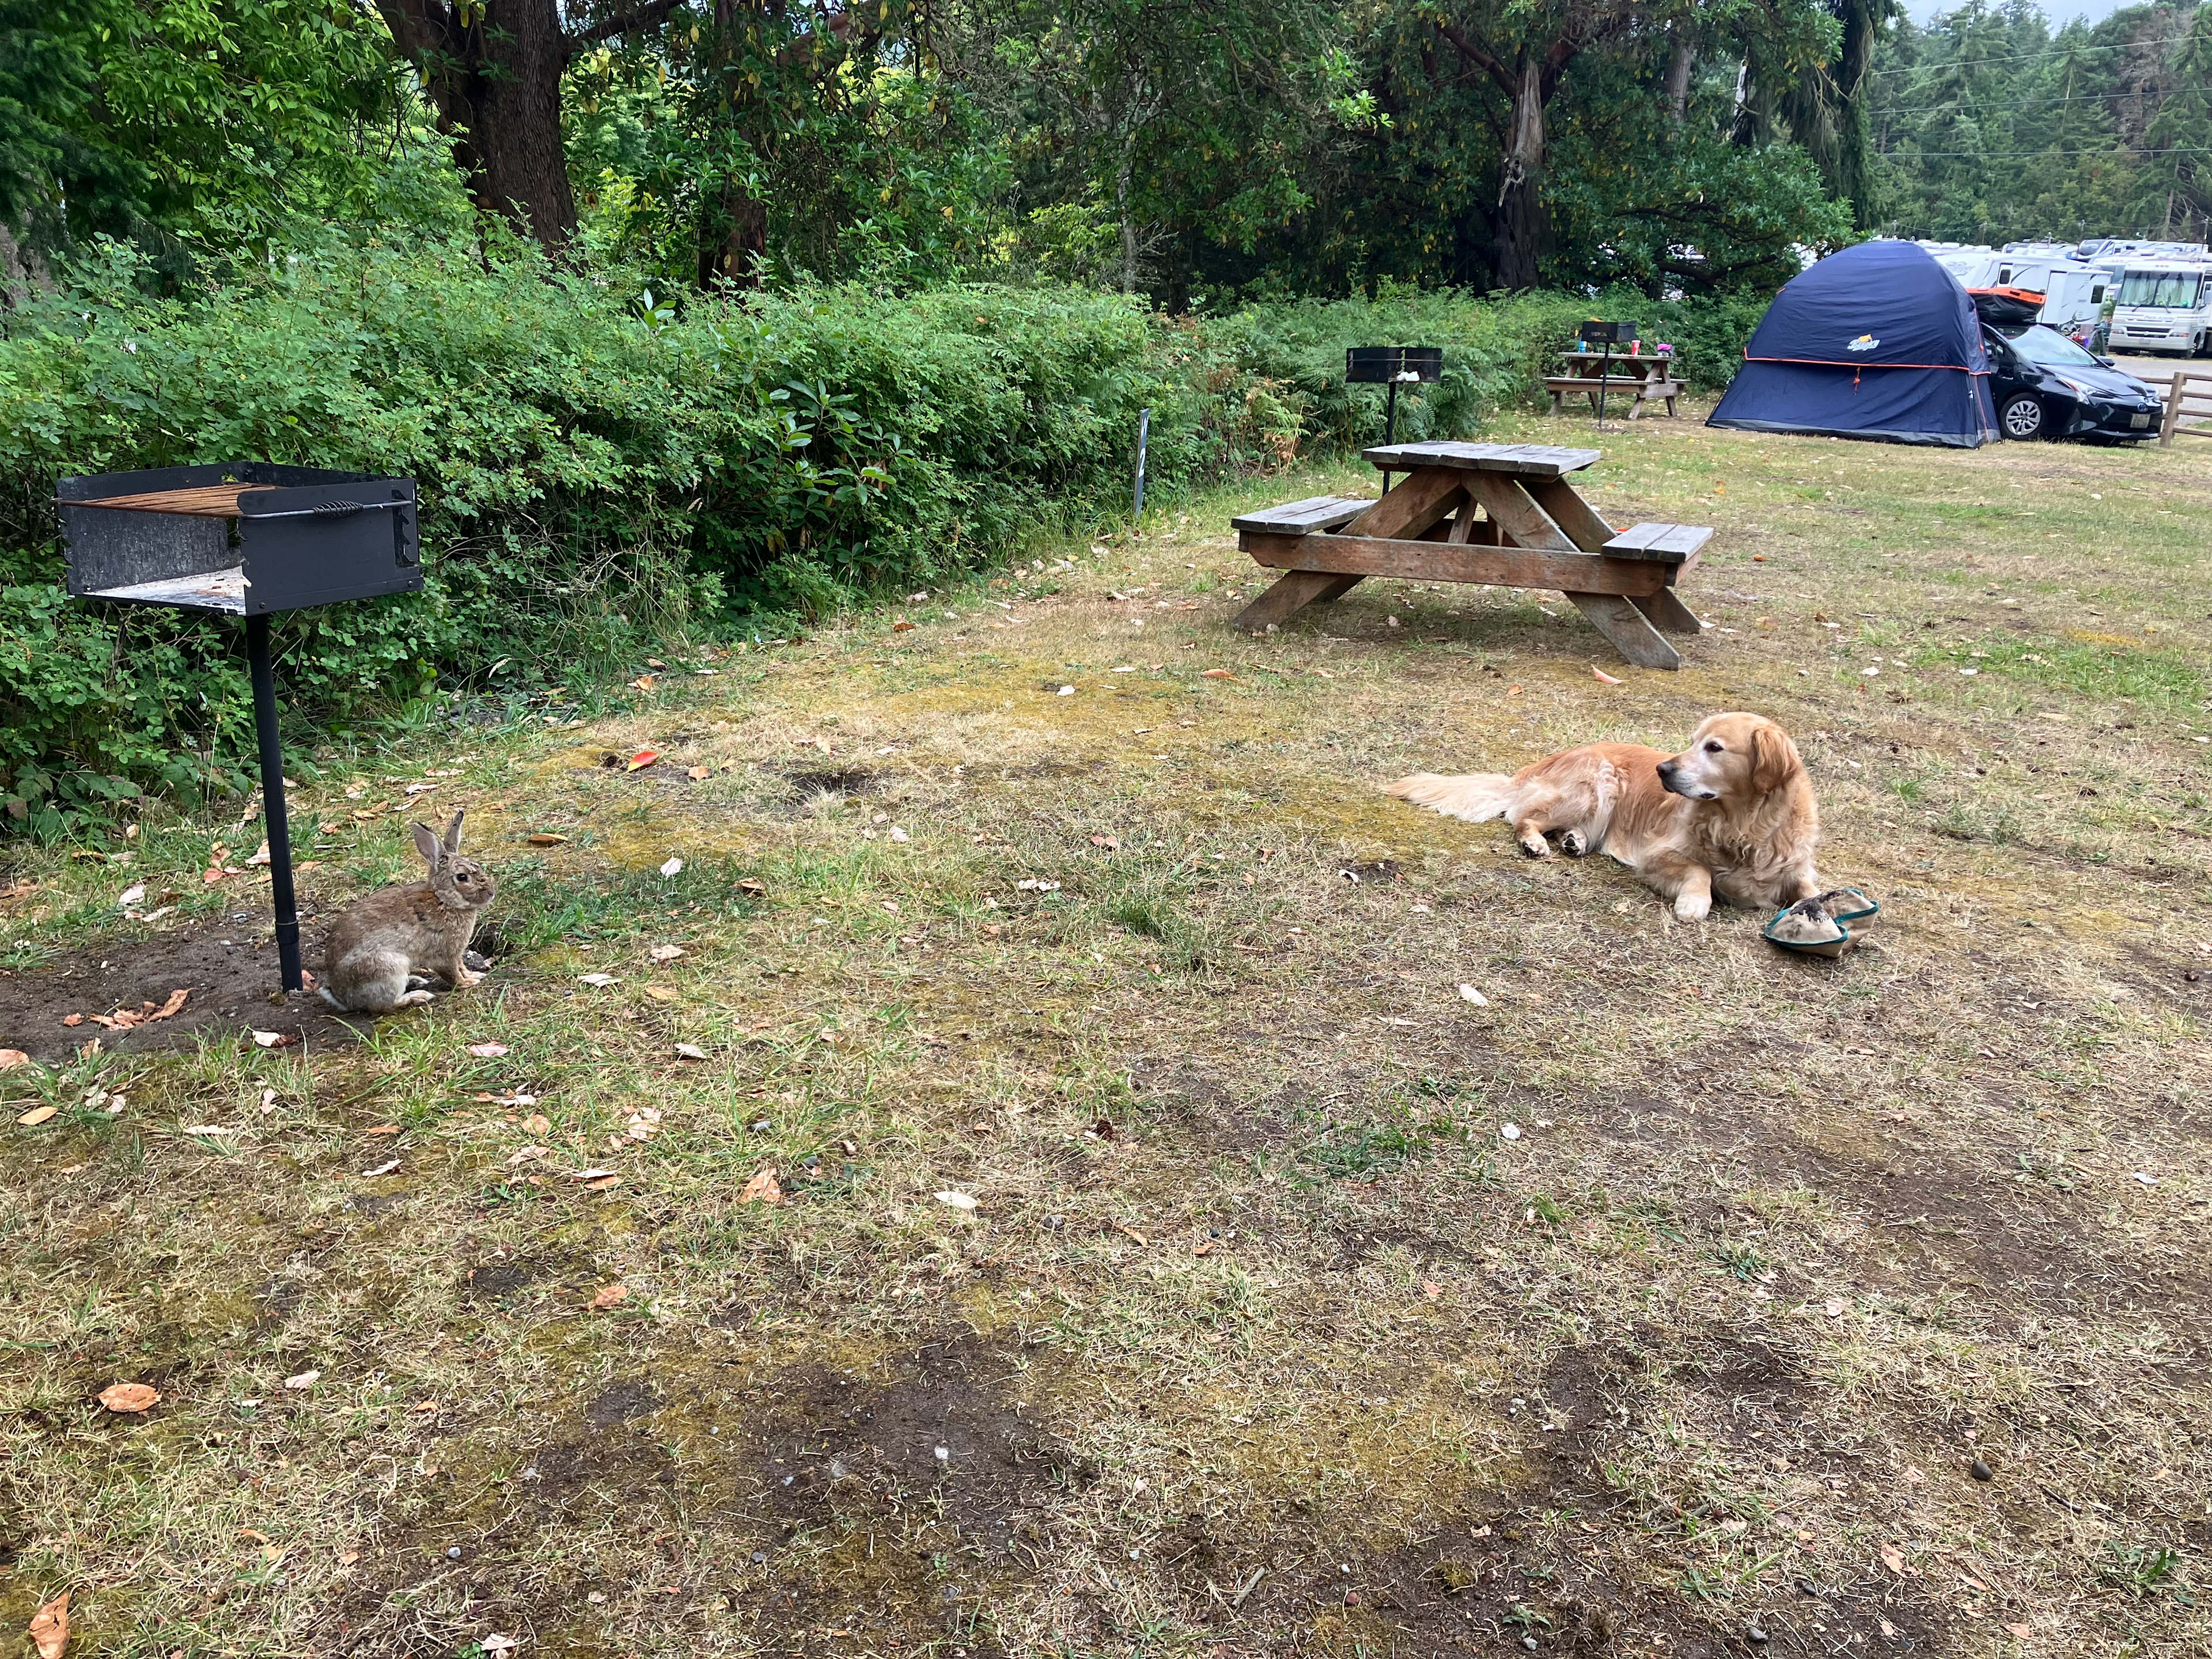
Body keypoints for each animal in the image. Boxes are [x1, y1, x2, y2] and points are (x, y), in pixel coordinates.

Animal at [318, 809, 497, 1014]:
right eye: (462, 877)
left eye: (478, 866)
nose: (491, 893)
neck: (443, 899)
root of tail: (343, 999)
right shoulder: (444, 955)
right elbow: (452, 973)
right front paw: (468, 983)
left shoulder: (457, 953)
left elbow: (461, 967)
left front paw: (474, 975)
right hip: (389, 968)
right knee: (385, 1005)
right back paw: (418, 996)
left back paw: (416, 981)